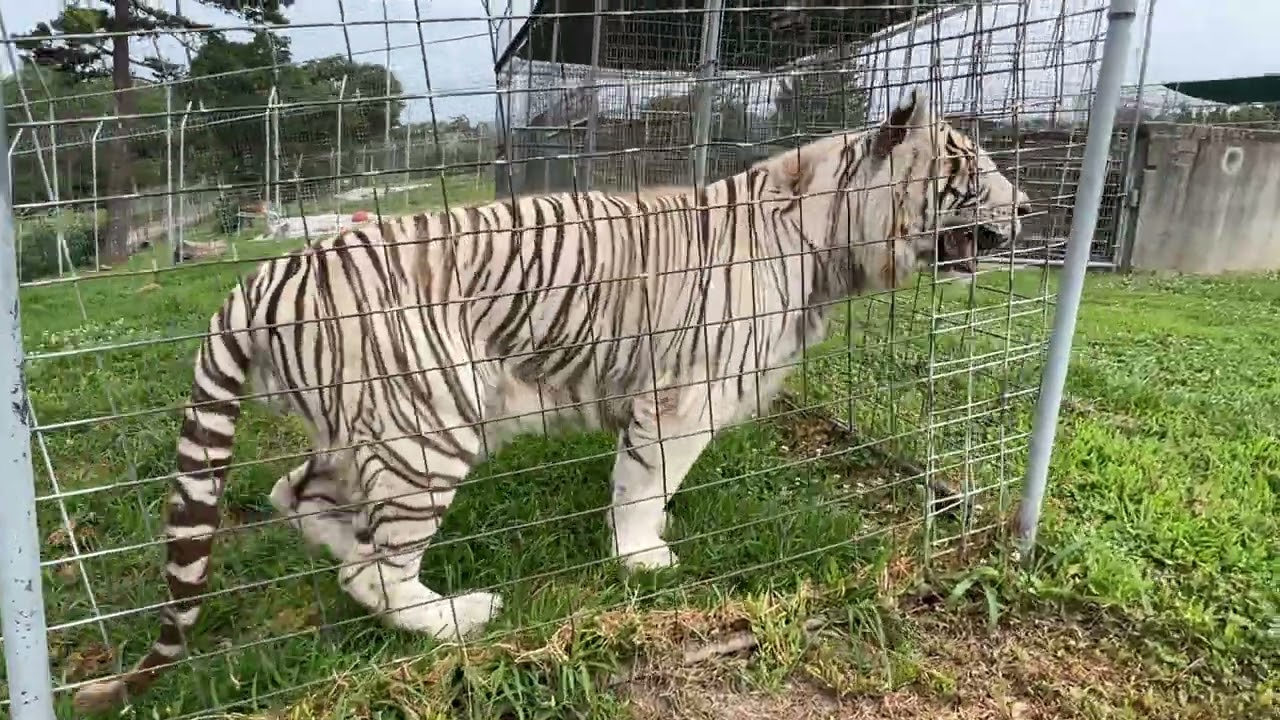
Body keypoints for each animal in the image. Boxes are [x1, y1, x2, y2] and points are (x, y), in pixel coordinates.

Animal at [73, 85, 1030, 712]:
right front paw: (643, 561)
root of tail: (262, 277)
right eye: (969, 166)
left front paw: (649, 544)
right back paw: (458, 615)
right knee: (376, 566)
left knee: (298, 502)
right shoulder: (681, 398)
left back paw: (352, 549)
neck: (828, 242)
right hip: (430, 426)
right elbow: (644, 486)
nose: (1026, 207)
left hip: (366, 430)